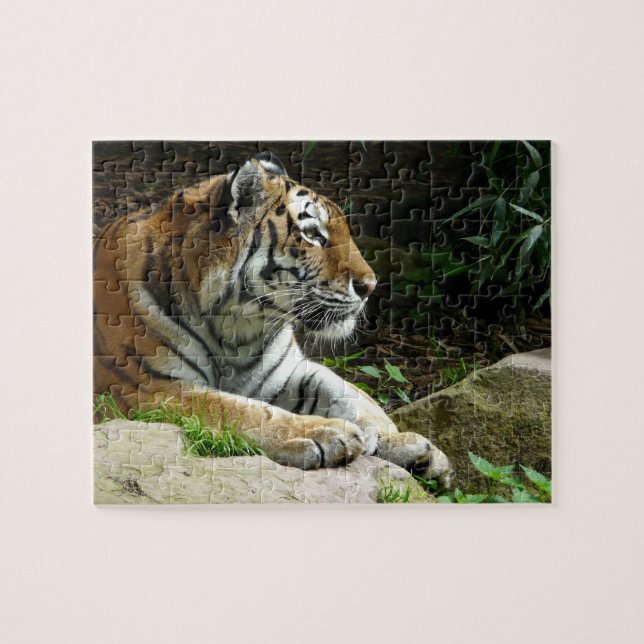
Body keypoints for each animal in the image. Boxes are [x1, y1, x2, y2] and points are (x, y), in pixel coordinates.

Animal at [94, 152, 453, 488]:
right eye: (313, 235)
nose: (370, 286)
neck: (237, 329)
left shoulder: (287, 370)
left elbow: (347, 392)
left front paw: (401, 443)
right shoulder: (145, 389)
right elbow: (236, 409)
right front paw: (324, 433)